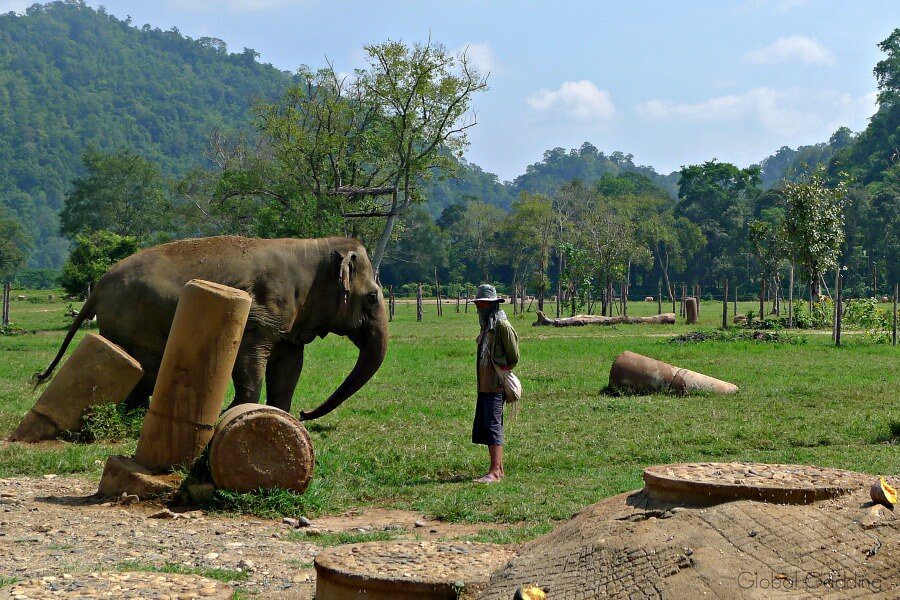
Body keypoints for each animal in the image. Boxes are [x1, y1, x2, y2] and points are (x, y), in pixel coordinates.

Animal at [34, 236, 388, 421]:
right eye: (372, 297)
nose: (305, 413)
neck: (312, 250)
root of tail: (98, 285)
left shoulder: (291, 325)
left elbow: (289, 370)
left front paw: (281, 415)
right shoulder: (261, 314)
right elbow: (250, 361)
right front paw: (233, 413)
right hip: (131, 324)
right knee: (143, 367)